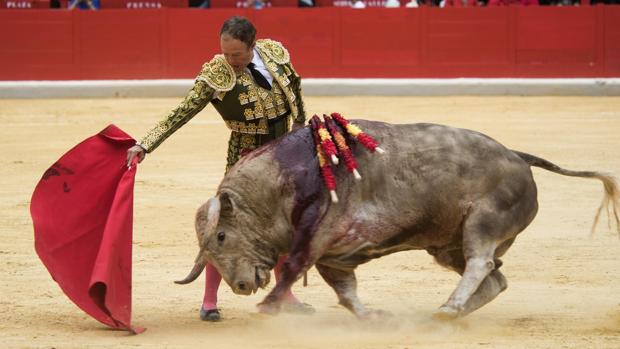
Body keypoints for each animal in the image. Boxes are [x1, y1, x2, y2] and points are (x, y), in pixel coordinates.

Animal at [174, 119, 620, 318]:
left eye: (221, 237)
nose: (240, 286)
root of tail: (518, 156)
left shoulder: (316, 235)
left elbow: (293, 269)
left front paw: (268, 307)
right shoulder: (334, 253)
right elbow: (345, 290)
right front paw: (370, 317)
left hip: (482, 223)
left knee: (481, 262)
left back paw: (450, 306)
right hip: (447, 244)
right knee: (496, 277)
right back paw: (451, 313)